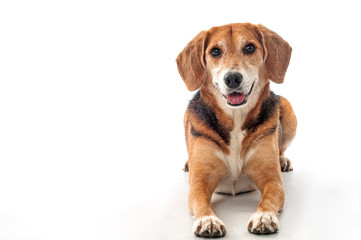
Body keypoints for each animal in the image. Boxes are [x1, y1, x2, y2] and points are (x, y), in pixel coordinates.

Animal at [176, 23, 296, 237]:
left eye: (249, 48)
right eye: (215, 51)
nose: (232, 78)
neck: (236, 117)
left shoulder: (273, 180)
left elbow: (268, 198)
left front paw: (264, 216)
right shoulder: (199, 182)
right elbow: (202, 201)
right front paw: (208, 220)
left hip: (288, 110)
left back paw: (282, 160)